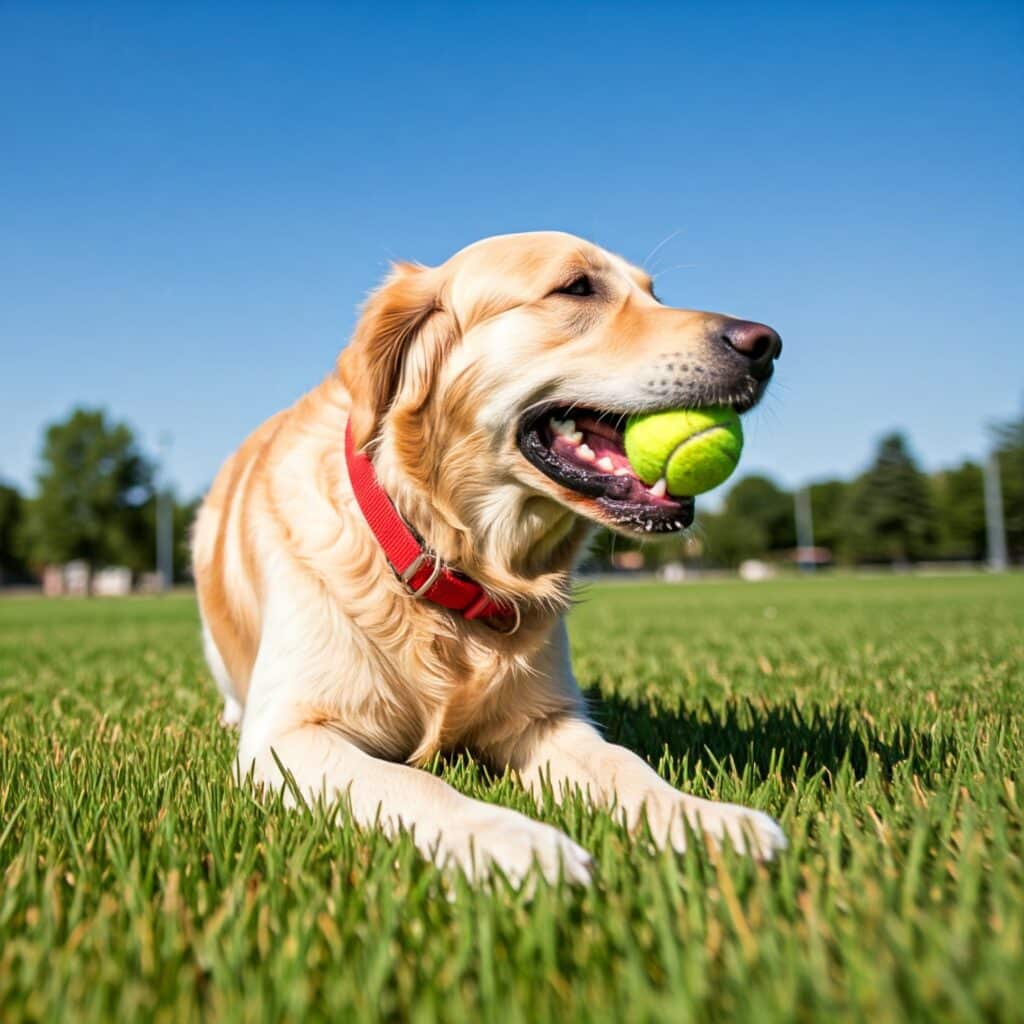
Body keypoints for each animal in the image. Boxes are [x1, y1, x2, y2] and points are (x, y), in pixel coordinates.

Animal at [192, 230, 782, 880]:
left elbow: (624, 763)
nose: (765, 344)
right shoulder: (289, 735)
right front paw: (518, 842)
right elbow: (418, 784)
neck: (445, 562)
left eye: (655, 293)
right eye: (578, 287)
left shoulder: (547, 720)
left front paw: (705, 820)